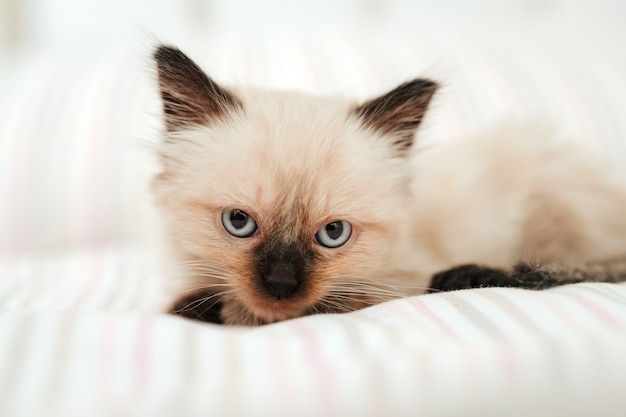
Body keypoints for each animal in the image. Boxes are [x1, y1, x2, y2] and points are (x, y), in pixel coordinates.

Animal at [150, 45, 624, 324]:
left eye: (333, 233)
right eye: (239, 222)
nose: (281, 286)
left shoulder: (396, 283)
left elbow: (333, 301)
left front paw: (226, 311)